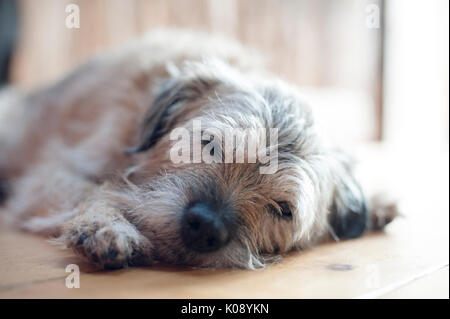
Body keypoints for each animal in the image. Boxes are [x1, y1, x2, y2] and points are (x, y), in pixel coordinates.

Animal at [0, 30, 398, 270]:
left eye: (283, 209)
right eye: (210, 145)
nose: (205, 225)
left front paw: (374, 203)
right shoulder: (55, 169)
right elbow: (90, 189)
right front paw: (107, 225)